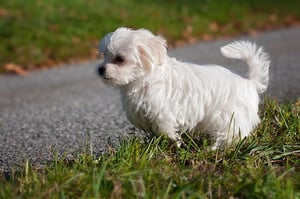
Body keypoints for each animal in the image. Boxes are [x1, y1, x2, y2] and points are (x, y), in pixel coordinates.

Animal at [97, 27, 270, 149]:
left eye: (120, 59)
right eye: (104, 55)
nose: (100, 69)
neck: (145, 78)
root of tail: (248, 82)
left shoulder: (162, 113)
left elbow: (166, 130)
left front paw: (175, 143)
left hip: (229, 116)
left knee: (232, 135)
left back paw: (215, 149)